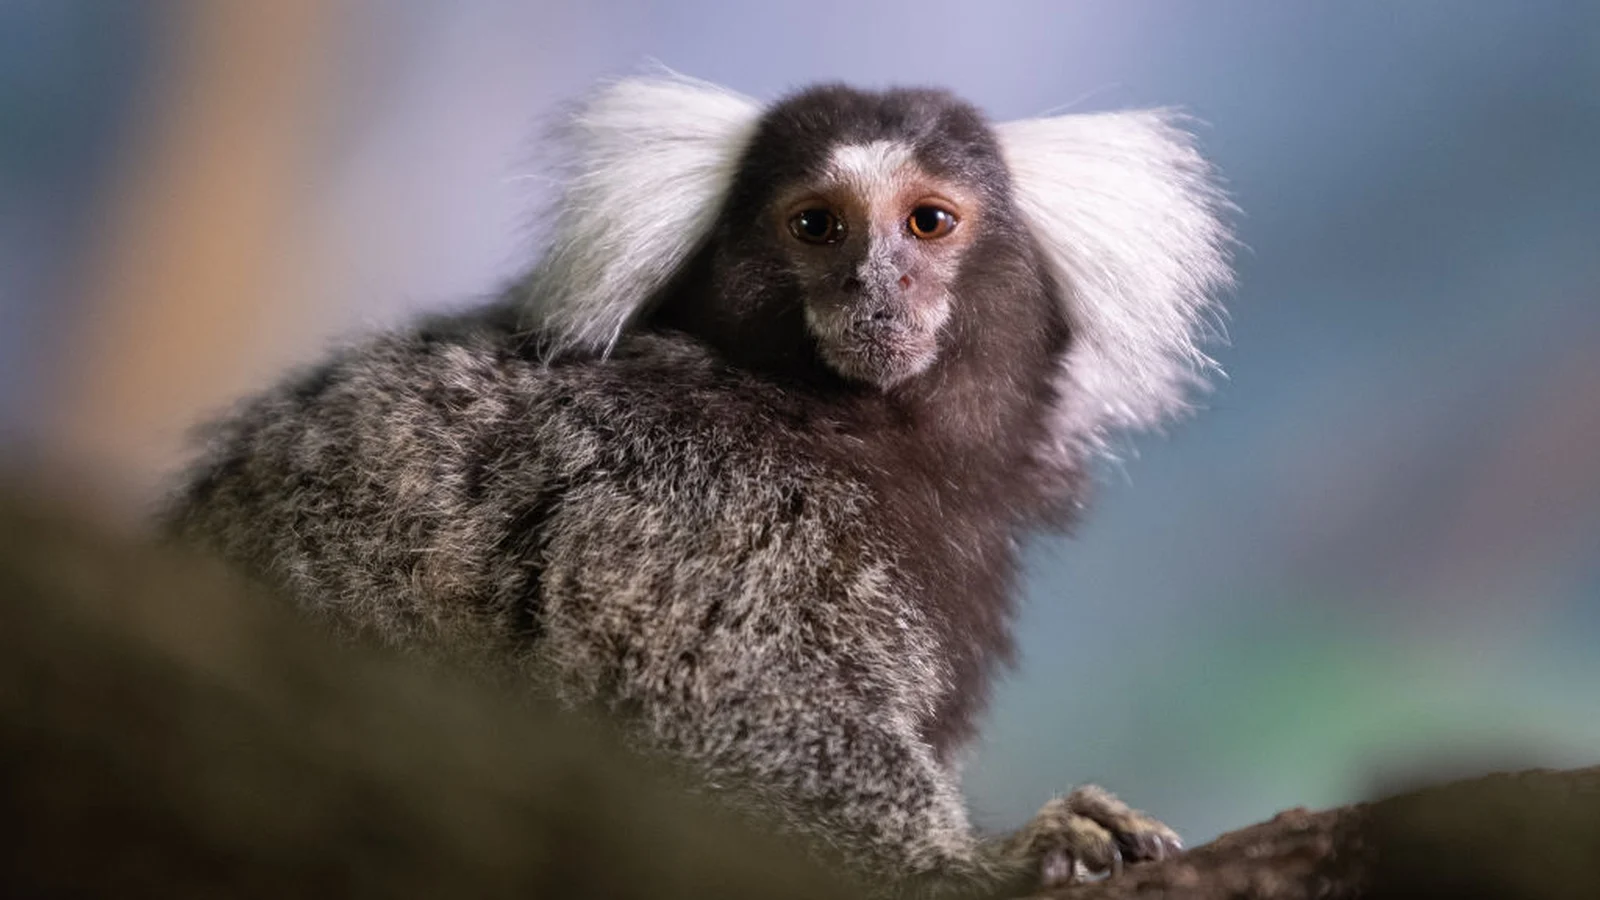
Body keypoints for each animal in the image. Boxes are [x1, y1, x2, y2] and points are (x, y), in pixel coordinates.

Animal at [162, 75, 1233, 895]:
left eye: (928, 223)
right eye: (816, 225)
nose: (873, 288)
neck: (839, 419)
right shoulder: (704, 492)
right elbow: (714, 696)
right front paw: (979, 860)